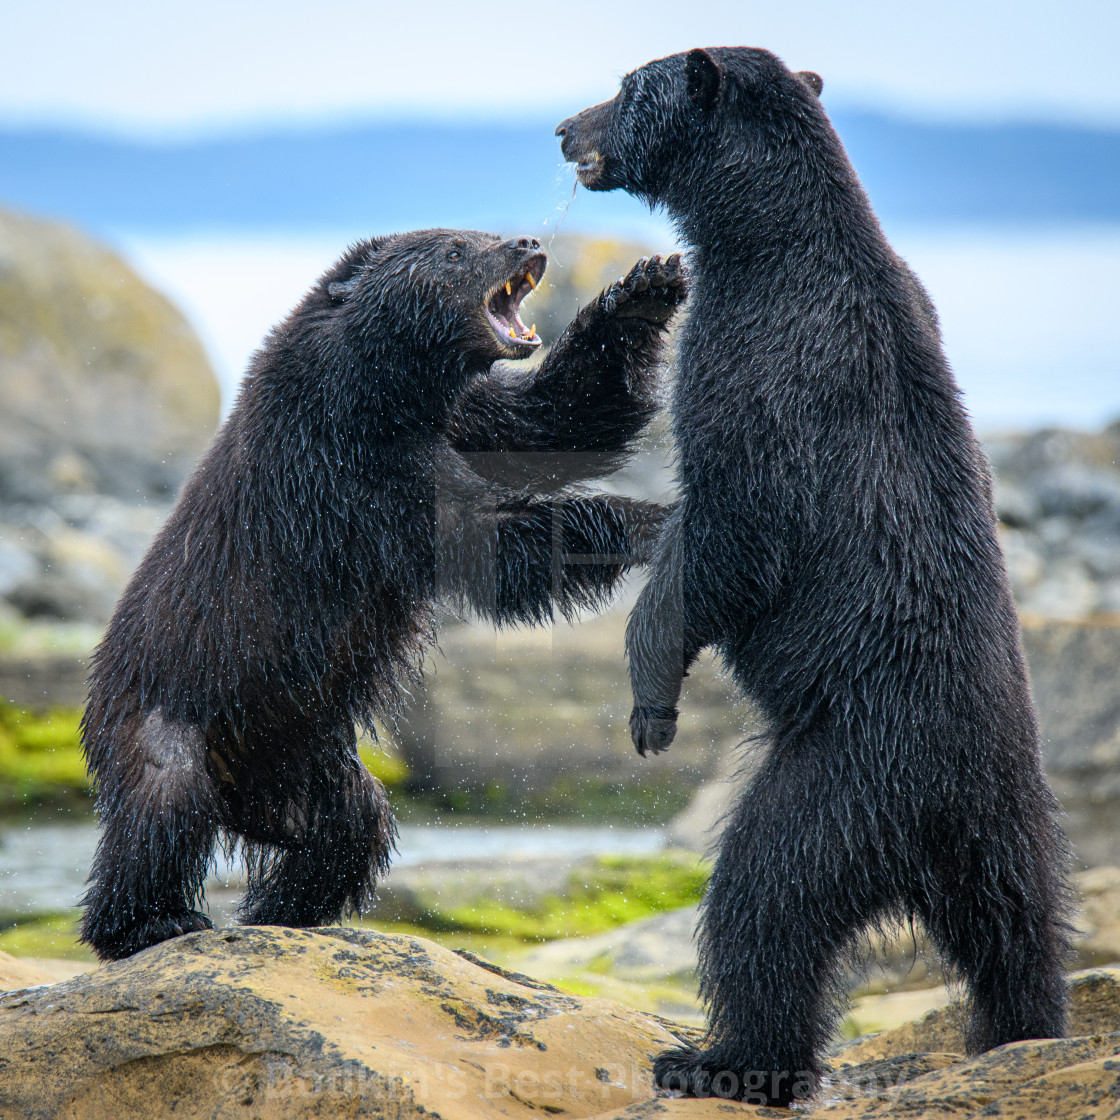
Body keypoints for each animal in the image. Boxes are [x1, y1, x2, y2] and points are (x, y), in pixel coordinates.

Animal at [557, 48, 1066, 1106]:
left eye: (624, 85)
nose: (561, 129)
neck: (760, 241)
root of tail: (948, 814)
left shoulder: (759, 366)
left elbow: (729, 534)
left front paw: (649, 701)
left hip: (846, 778)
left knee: (766, 898)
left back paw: (720, 1057)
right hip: (1013, 827)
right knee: (1021, 934)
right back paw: (1021, 1035)